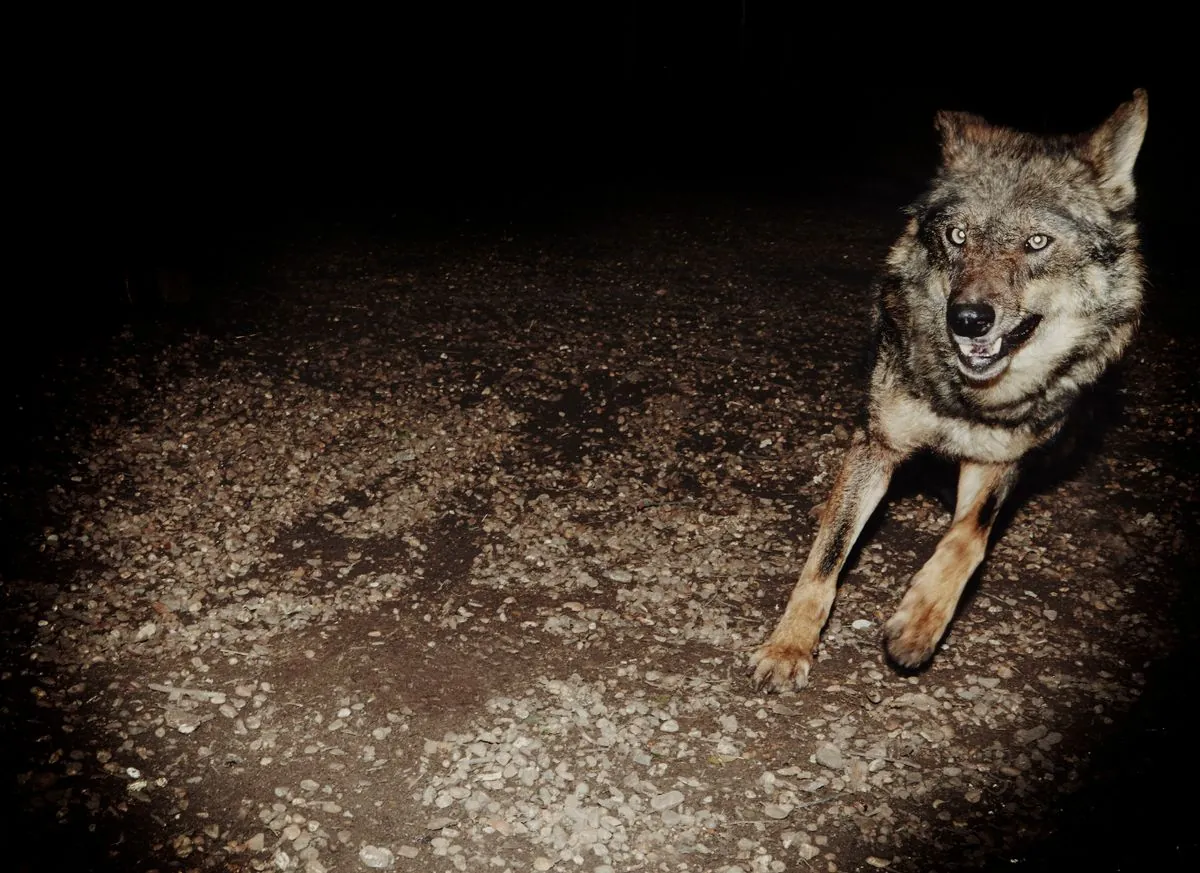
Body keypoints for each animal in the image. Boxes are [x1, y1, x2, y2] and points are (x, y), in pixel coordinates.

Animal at [753, 88, 1147, 690]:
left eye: (1037, 242)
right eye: (957, 236)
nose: (966, 319)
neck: (963, 396)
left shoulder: (997, 460)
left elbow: (969, 539)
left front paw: (918, 625)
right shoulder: (878, 445)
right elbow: (826, 560)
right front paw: (789, 646)